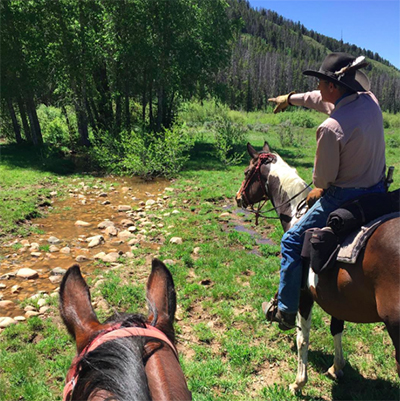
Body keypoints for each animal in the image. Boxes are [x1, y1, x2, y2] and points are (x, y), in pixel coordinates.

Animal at [236, 142, 398, 392]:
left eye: (246, 172)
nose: (238, 198)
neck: (295, 214)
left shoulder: (304, 295)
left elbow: (302, 337)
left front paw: (298, 383)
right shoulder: (338, 299)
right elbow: (336, 328)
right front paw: (336, 368)